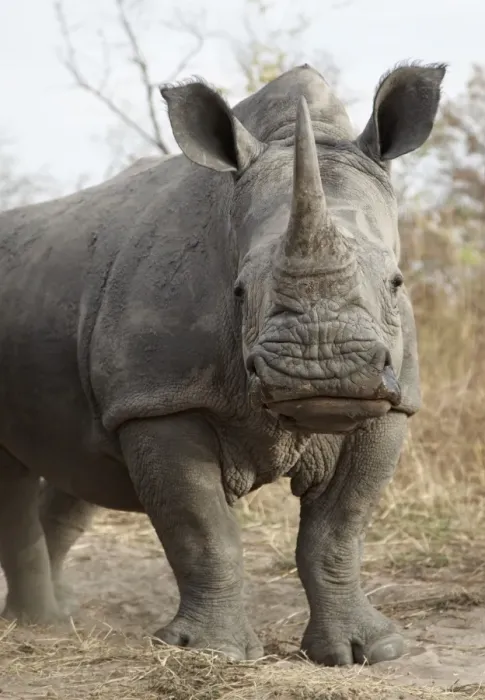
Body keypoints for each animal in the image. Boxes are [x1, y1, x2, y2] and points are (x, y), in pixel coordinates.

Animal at [0, 61, 445, 666]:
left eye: (396, 282)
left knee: (77, 468)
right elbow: (202, 529)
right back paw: (38, 624)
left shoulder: (391, 403)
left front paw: (372, 651)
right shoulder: (161, 399)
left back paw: (60, 617)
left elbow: (339, 529)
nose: (322, 369)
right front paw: (212, 652)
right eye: (237, 291)